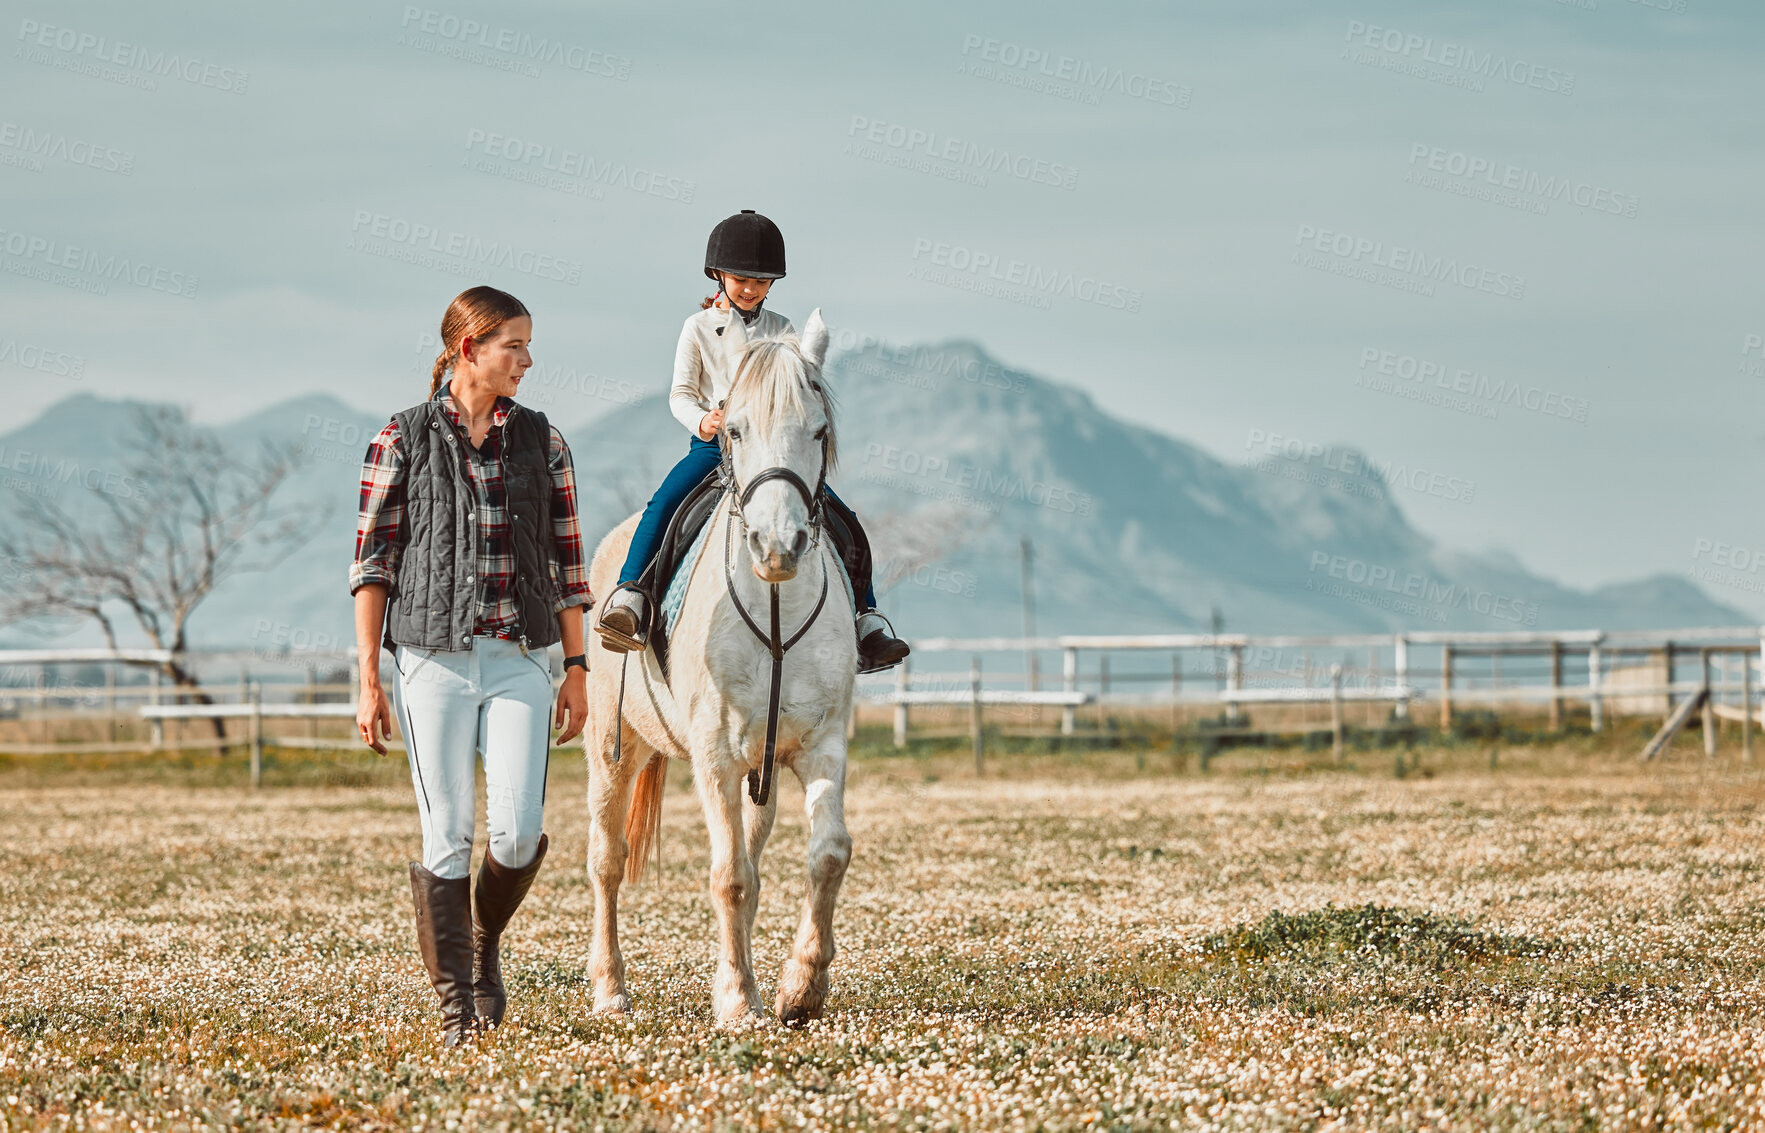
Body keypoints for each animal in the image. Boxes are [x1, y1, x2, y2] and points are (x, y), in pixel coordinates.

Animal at [578, 307, 854, 1023]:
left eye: (818, 431)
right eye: (732, 428)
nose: (778, 546)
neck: (775, 607)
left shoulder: (820, 745)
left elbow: (827, 856)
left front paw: (799, 988)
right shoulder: (716, 755)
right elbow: (729, 876)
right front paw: (735, 1001)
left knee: (754, 853)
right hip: (614, 748)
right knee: (607, 861)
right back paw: (610, 989)